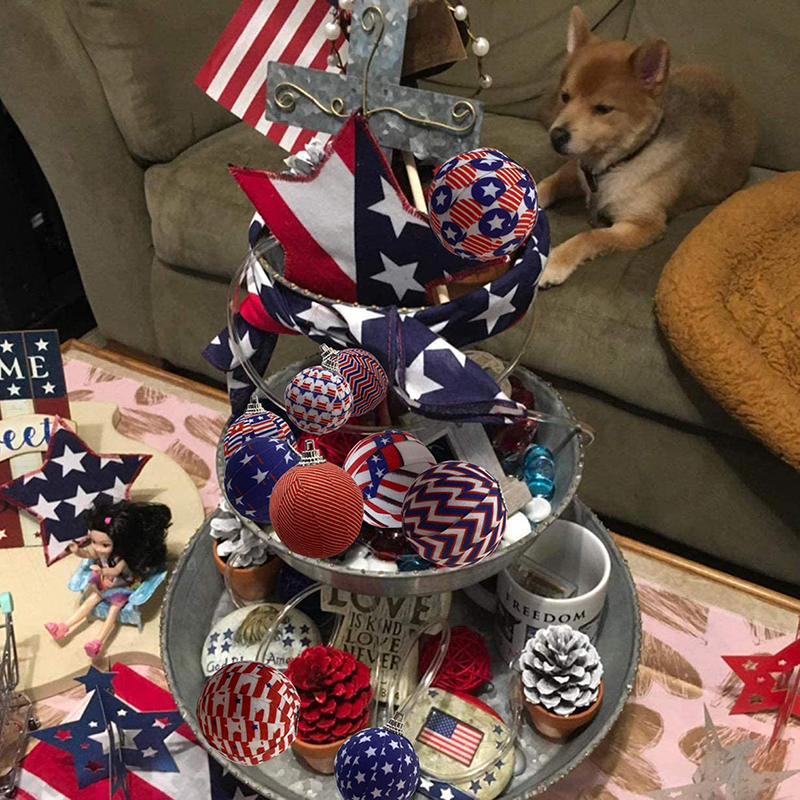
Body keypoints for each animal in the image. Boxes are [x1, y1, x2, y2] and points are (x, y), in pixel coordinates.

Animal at [536, 6, 757, 287]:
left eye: (603, 109)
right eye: (565, 96)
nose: (556, 136)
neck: (615, 164)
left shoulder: (642, 225)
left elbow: (591, 236)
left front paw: (556, 261)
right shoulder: (573, 171)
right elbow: (545, 185)